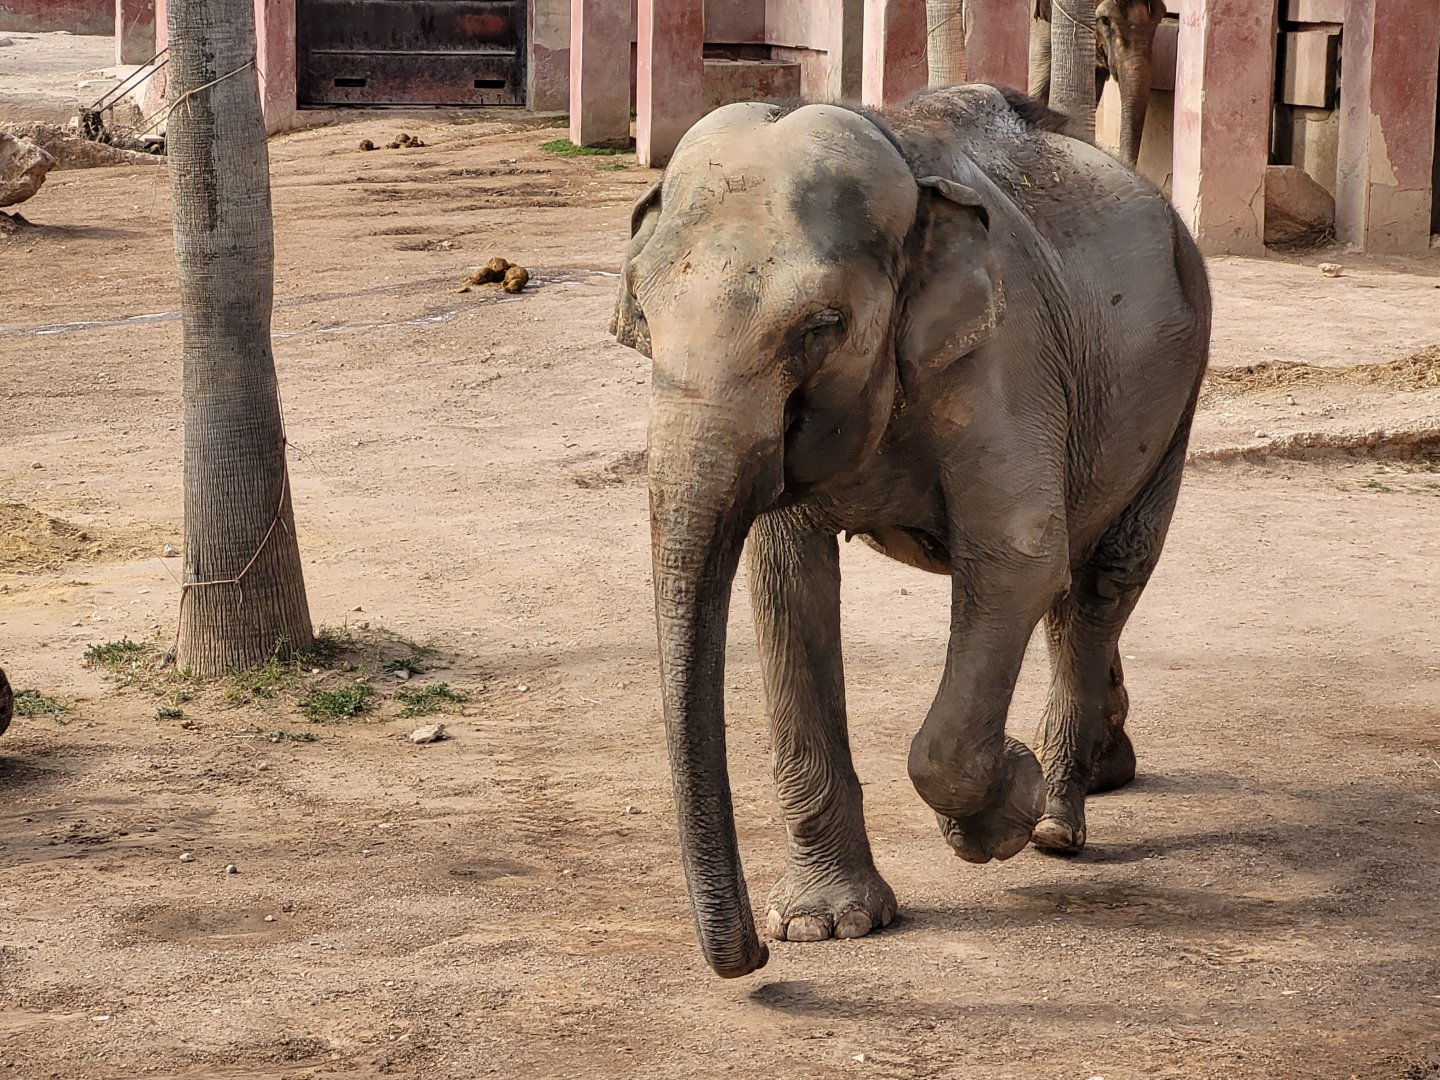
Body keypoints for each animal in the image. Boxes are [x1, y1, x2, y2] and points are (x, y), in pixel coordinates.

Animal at [610, 84, 1211, 979]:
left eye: (820, 324)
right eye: (643, 312)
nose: (752, 958)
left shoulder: (1006, 352)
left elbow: (1014, 558)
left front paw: (1003, 809)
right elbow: (787, 585)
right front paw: (825, 926)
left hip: (1183, 373)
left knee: (1104, 574)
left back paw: (1056, 821)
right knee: (1076, 577)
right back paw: (1107, 767)